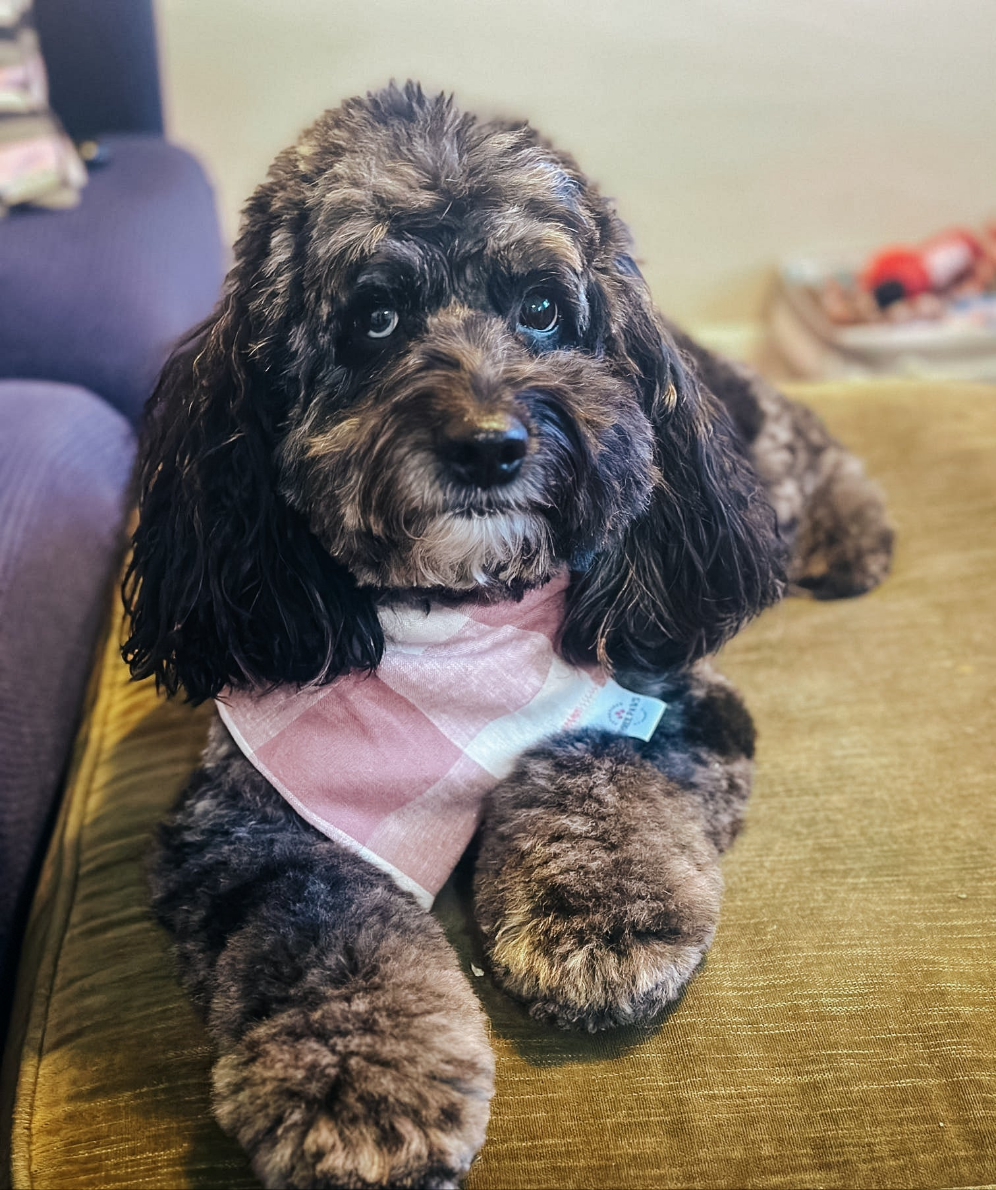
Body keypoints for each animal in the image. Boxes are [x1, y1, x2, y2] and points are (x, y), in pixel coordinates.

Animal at [124, 86, 894, 1190]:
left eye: (540, 309)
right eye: (373, 316)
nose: (491, 446)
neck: (460, 618)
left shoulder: (669, 692)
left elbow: (596, 769)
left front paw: (602, 912)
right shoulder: (238, 829)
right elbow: (317, 928)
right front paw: (363, 1083)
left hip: (754, 457)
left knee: (806, 441)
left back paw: (850, 532)